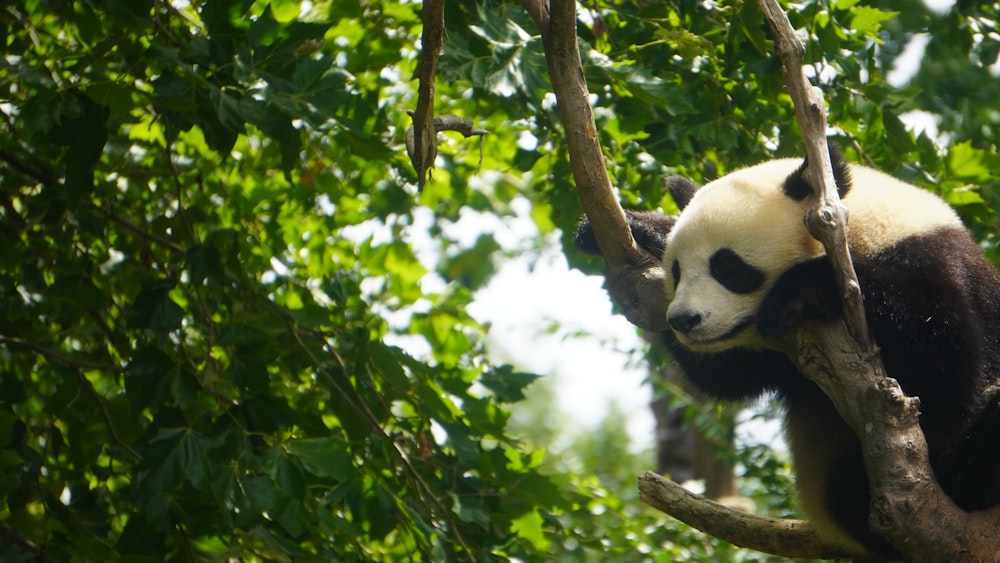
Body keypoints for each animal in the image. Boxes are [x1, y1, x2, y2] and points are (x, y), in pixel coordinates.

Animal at [576, 150, 1000, 560]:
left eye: (728, 267)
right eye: (676, 271)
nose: (684, 320)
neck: (859, 223)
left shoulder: (932, 259)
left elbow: (946, 365)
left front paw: (801, 288)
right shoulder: (779, 357)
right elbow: (730, 377)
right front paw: (631, 228)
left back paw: (965, 476)